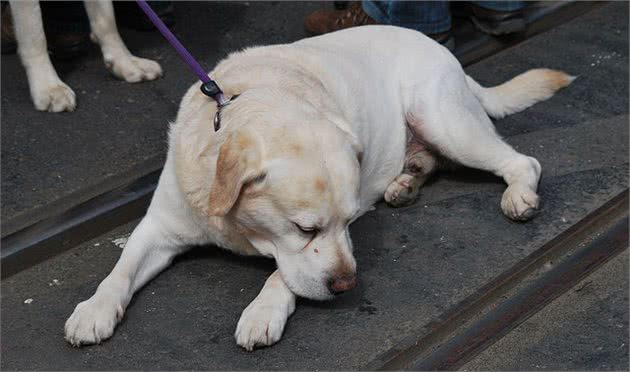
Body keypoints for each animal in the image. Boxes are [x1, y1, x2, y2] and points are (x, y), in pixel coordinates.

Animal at [63, 24, 572, 350]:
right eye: (304, 229)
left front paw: (263, 311)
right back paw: (405, 183)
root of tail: (442, 50)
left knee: (522, 160)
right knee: (431, 159)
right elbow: (121, 269)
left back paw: (519, 194)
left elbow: (282, 275)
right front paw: (93, 310)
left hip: (445, 121)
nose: (347, 286)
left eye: (348, 222)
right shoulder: (159, 226)